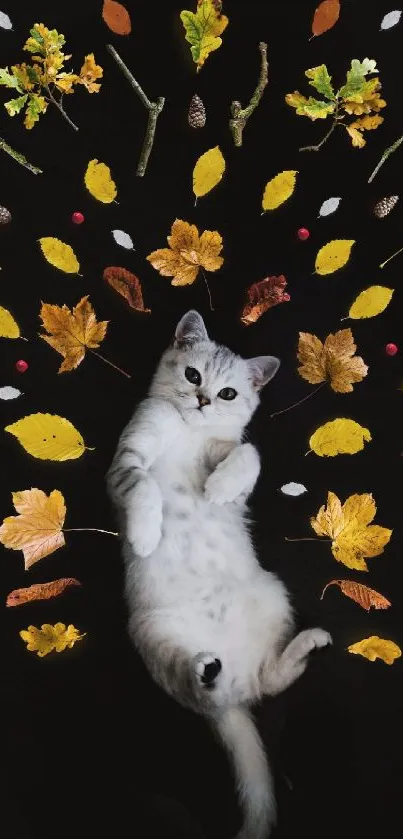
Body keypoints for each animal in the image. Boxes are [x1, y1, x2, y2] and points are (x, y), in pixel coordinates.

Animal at [107, 314, 332, 839]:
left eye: (228, 393)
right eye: (192, 375)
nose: (204, 399)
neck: (189, 432)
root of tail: (235, 685)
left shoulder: (225, 450)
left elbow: (248, 454)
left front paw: (219, 488)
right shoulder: (127, 457)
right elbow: (142, 483)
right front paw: (145, 533)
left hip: (272, 596)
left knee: (267, 683)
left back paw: (302, 647)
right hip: (156, 635)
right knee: (200, 692)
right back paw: (205, 672)